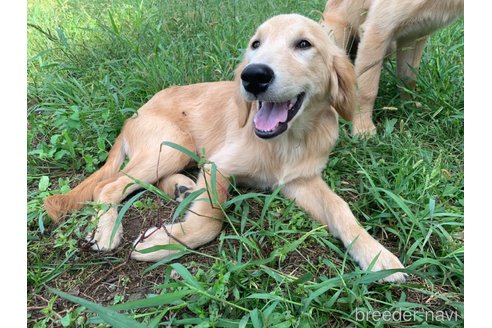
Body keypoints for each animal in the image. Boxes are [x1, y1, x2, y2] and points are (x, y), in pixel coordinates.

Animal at [42, 14, 406, 282]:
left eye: (304, 44)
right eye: (255, 44)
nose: (253, 76)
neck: (285, 142)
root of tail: (134, 115)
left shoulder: (299, 182)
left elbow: (341, 209)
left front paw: (376, 254)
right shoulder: (219, 165)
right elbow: (211, 219)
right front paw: (161, 244)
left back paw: (182, 188)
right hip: (172, 146)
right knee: (108, 186)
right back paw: (106, 231)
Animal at [320, 0, 464, 135]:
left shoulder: (414, 37)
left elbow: (408, 79)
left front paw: (409, 108)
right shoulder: (377, 30)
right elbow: (366, 90)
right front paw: (363, 127)